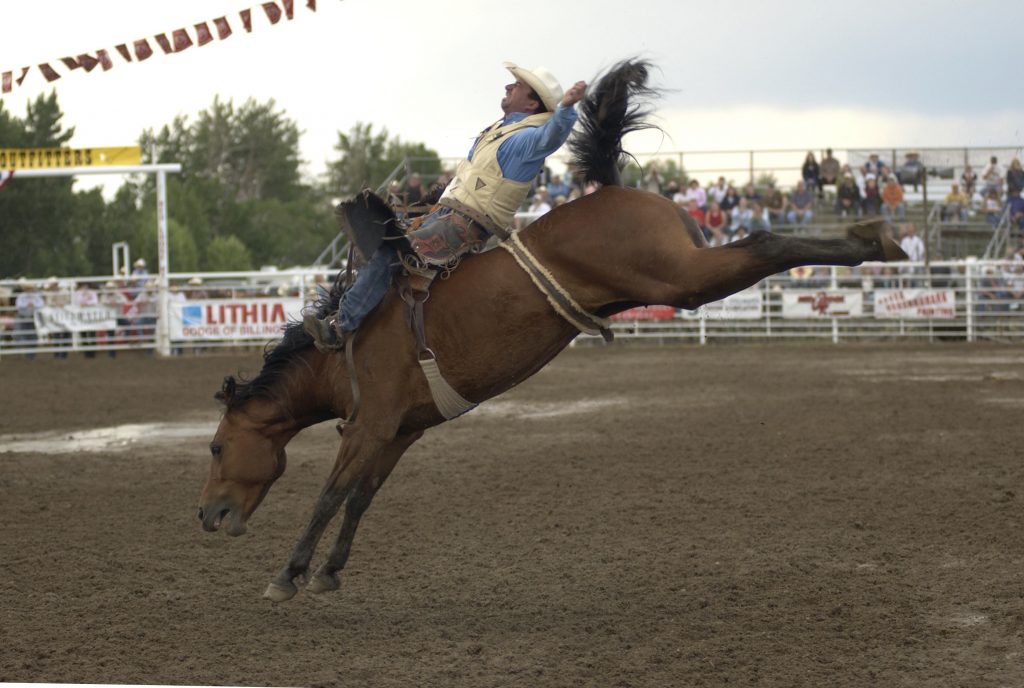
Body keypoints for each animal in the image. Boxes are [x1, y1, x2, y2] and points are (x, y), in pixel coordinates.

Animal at [197, 60, 905, 602]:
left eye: (215, 447)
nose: (206, 516)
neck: (345, 352)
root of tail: (614, 188)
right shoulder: (401, 430)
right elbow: (360, 498)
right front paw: (328, 573)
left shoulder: (372, 421)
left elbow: (329, 493)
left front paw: (288, 576)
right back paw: (875, 241)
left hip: (679, 277)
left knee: (761, 241)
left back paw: (874, 237)